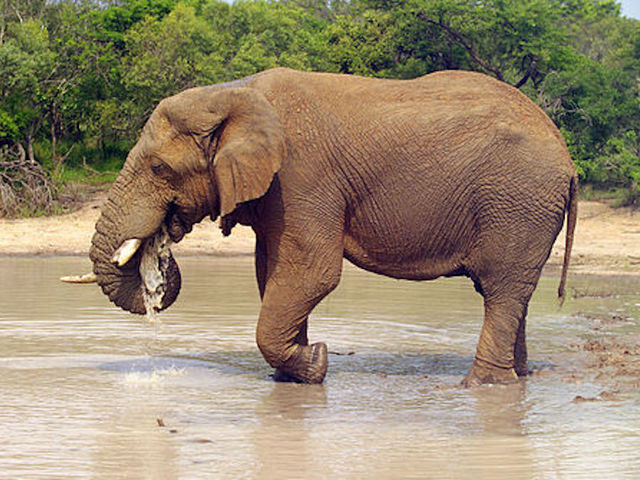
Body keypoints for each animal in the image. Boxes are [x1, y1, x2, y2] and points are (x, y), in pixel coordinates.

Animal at [81, 68, 578, 386]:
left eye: (159, 168)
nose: (164, 241)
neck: (235, 93)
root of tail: (567, 157)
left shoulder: (303, 175)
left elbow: (312, 273)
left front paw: (316, 363)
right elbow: (272, 273)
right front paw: (294, 373)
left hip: (518, 203)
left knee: (500, 290)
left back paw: (482, 386)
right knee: (512, 296)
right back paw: (517, 379)